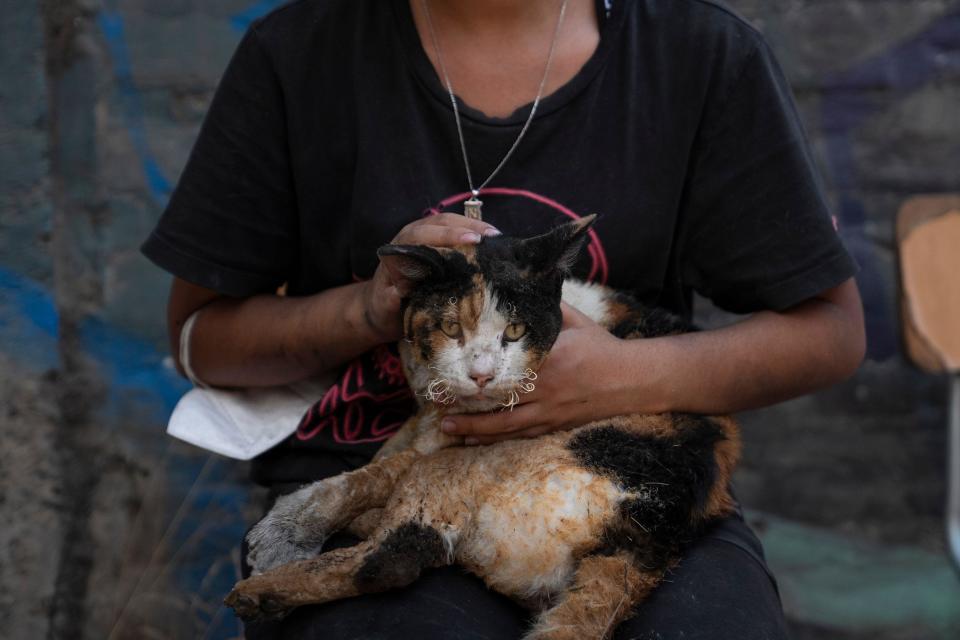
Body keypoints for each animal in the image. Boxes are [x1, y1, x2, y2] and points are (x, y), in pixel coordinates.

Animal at [227, 216, 744, 640]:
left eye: (514, 331)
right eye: (451, 328)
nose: (482, 374)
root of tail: (650, 533)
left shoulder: (450, 440)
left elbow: (368, 476)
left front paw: (286, 529)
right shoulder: (425, 416)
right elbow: (386, 451)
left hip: (473, 470)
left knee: (394, 557)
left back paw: (262, 593)